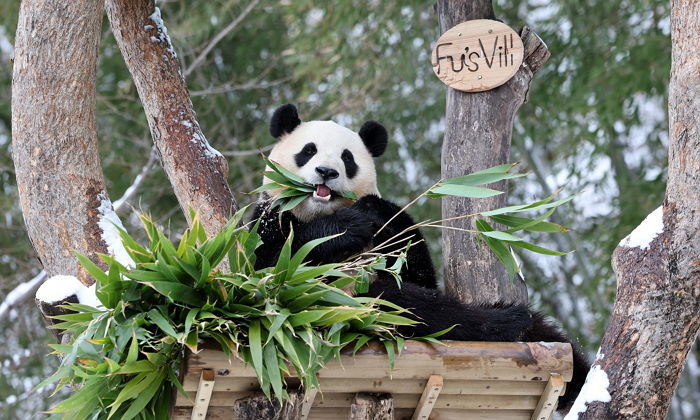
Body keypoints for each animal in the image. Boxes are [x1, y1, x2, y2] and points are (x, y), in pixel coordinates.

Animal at [252, 103, 592, 412]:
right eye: (308, 151)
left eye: (347, 158)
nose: (326, 172)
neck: (320, 210)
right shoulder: (266, 219)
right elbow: (271, 271)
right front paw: (346, 227)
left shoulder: (390, 240)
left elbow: (415, 269)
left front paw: (372, 209)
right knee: (394, 304)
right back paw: (507, 321)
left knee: (425, 305)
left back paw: (514, 324)